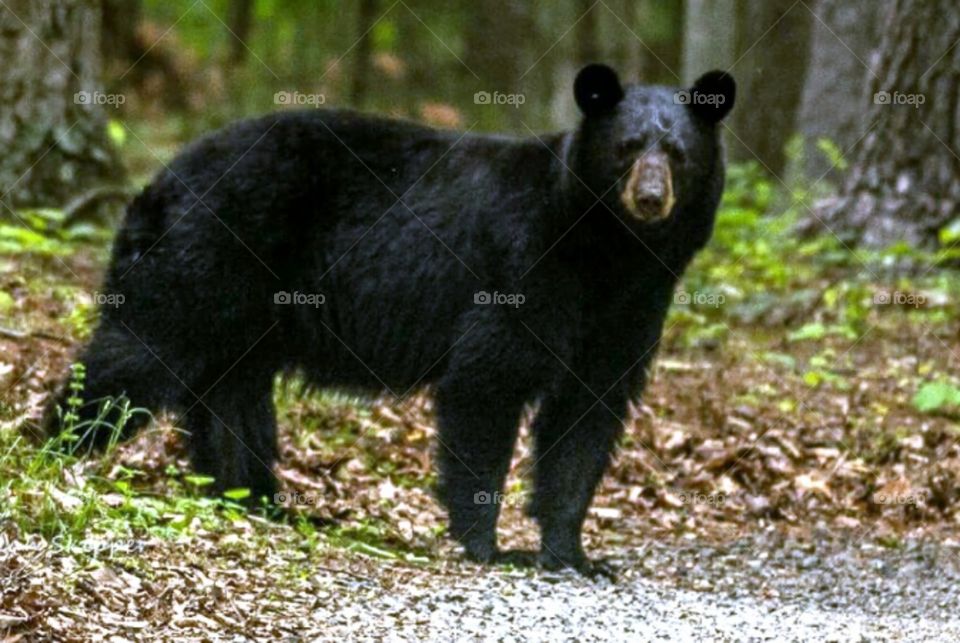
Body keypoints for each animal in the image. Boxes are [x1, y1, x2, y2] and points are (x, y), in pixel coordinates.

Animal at [46, 64, 735, 575]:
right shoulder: (524, 265)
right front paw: (490, 546)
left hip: (247, 308)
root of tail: (155, 181)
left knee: (231, 394)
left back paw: (255, 496)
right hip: (208, 251)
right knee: (138, 352)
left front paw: (574, 554)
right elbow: (487, 383)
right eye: (627, 148)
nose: (650, 198)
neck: (607, 252)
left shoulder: (630, 308)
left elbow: (586, 415)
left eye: (678, 152)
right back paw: (54, 450)